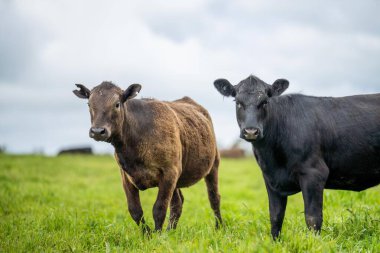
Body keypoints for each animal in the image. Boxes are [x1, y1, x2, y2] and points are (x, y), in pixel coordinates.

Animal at [72, 81, 221, 233]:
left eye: (117, 104)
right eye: (89, 104)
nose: (97, 131)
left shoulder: (169, 172)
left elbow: (159, 209)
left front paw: (158, 235)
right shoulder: (126, 176)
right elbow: (135, 210)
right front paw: (147, 234)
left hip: (213, 165)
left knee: (214, 198)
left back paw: (219, 227)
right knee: (178, 202)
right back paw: (170, 231)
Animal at [214, 74, 380, 239]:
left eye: (265, 102)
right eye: (238, 102)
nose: (251, 131)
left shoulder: (314, 173)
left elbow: (313, 218)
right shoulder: (270, 179)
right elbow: (275, 216)